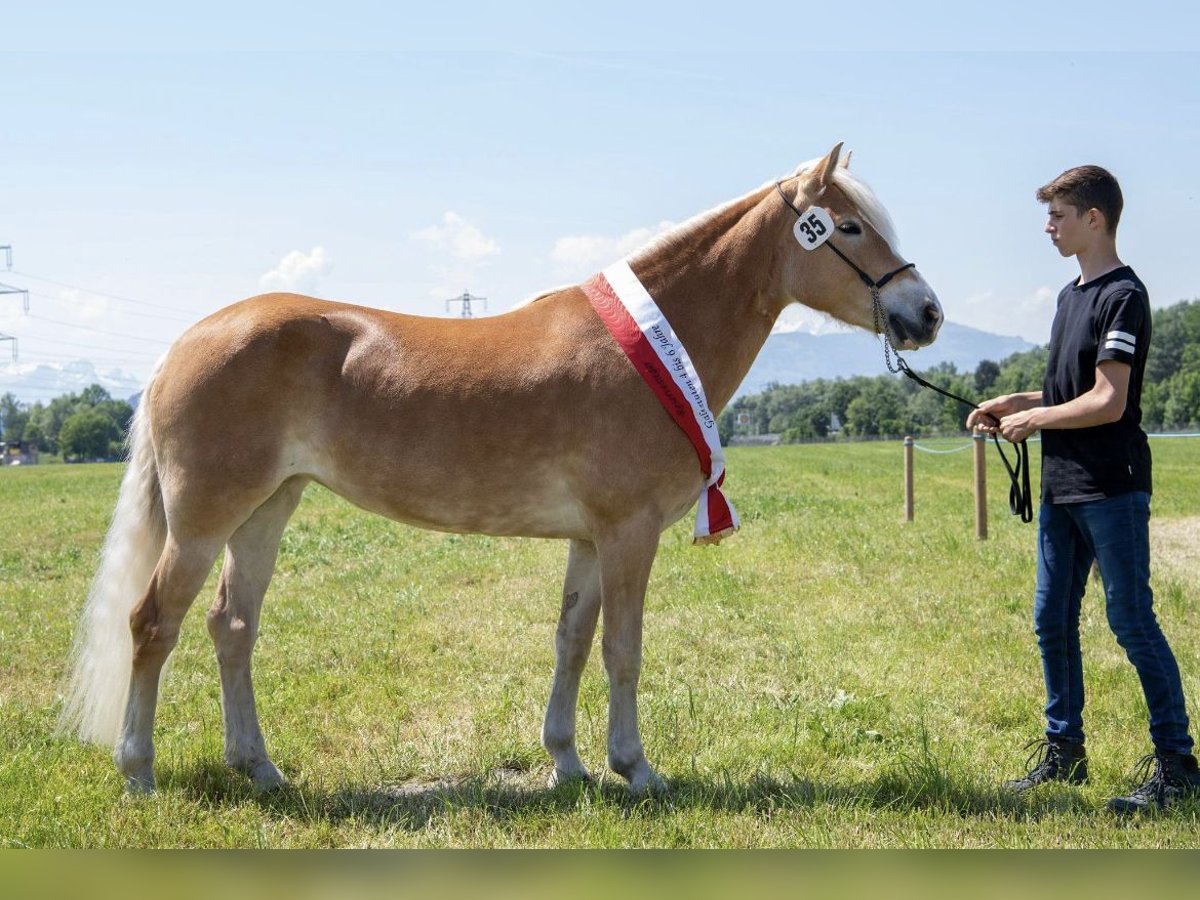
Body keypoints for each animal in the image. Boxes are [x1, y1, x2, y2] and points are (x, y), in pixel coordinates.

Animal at [60, 142, 940, 796]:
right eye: (850, 227)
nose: (926, 312)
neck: (649, 346)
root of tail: (184, 343)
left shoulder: (590, 540)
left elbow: (572, 642)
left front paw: (568, 762)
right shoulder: (629, 534)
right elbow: (624, 649)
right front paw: (637, 769)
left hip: (266, 512)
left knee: (231, 627)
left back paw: (261, 768)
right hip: (203, 520)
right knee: (153, 624)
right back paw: (138, 771)